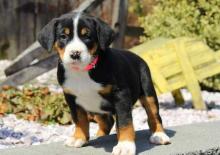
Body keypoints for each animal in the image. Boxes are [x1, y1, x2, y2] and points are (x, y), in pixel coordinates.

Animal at [37, 11, 170, 155]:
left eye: (87, 36)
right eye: (63, 36)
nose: (75, 54)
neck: (83, 71)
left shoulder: (121, 95)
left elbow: (125, 121)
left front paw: (125, 145)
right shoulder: (71, 97)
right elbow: (79, 119)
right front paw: (78, 138)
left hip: (147, 90)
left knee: (154, 114)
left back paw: (159, 135)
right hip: (95, 106)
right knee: (107, 121)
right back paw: (100, 135)